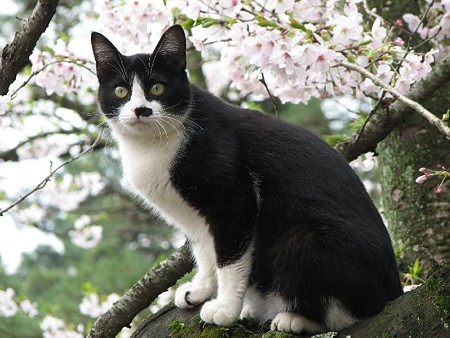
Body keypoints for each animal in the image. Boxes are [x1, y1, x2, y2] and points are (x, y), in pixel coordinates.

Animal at [91, 25, 404, 334]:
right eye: (121, 91)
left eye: (157, 87)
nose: (140, 110)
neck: (151, 146)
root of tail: (395, 290)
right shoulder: (195, 217)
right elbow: (205, 250)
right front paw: (201, 289)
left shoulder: (234, 200)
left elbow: (230, 259)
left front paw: (225, 309)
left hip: (307, 241)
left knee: (349, 313)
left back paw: (292, 318)